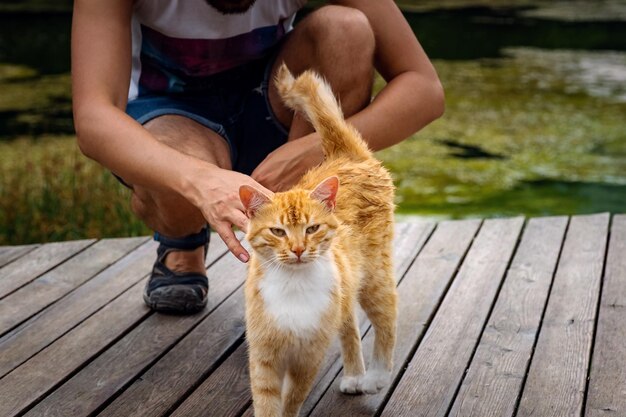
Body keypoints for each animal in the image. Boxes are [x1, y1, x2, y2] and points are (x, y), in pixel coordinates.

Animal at [239, 64, 394, 416]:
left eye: (311, 229)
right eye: (278, 232)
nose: (298, 250)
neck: (293, 286)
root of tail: (344, 155)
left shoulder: (308, 358)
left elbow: (292, 399)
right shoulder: (264, 356)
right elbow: (267, 402)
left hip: (374, 276)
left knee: (387, 317)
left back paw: (376, 376)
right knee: (349, 325)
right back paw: (355, 375)